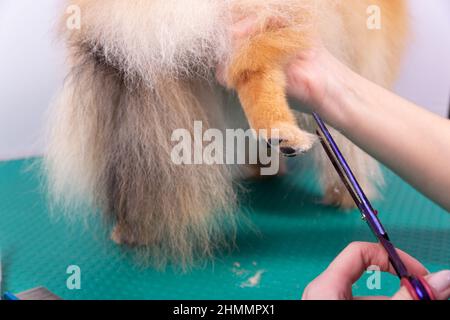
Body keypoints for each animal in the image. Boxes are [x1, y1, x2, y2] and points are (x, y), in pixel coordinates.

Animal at [45, 0, 408, 268]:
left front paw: (263, 168)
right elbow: (347, 152)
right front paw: (346, 195)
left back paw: (132, 229)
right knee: (255, 74)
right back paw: (282, 134)